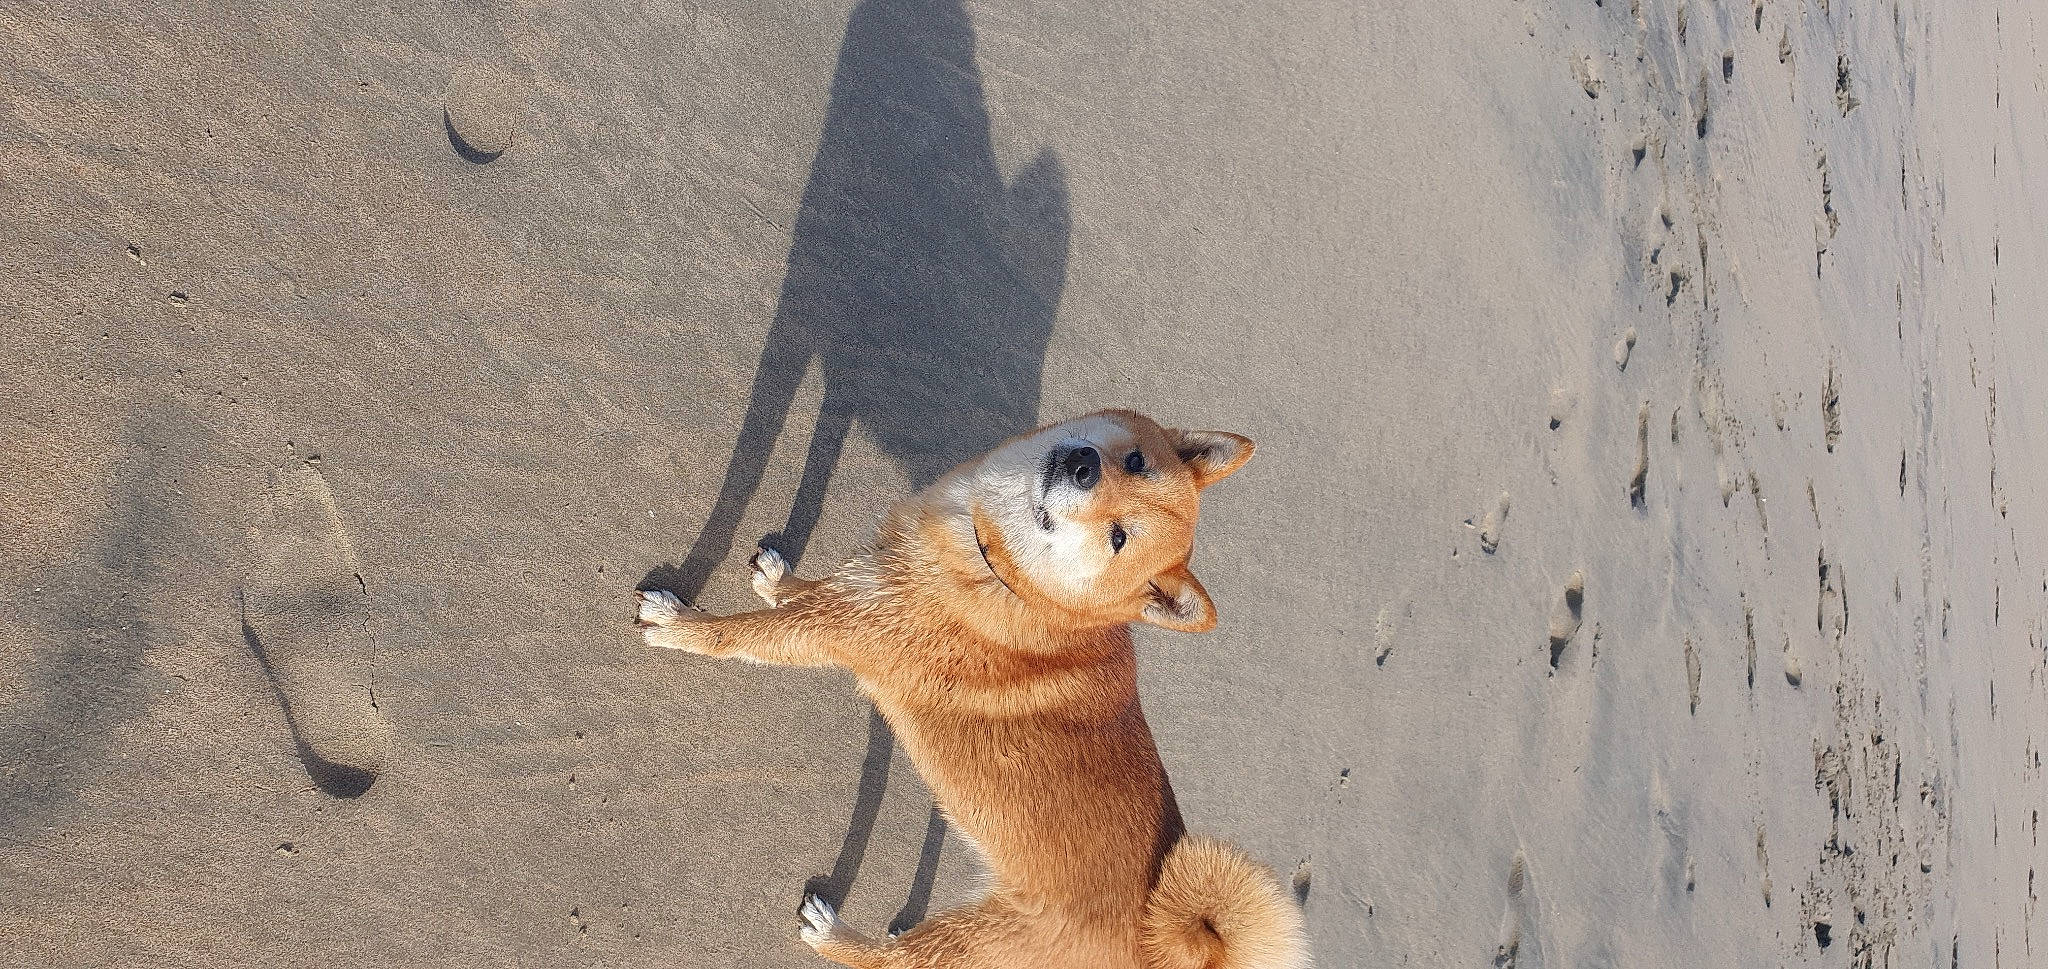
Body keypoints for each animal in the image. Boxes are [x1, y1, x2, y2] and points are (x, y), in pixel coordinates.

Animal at [636, 409, 1309, 969]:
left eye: (1119, 537)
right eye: (1137, 461)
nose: (1083, 464)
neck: (1012, 578)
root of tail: (1161, 944)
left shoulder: (844, 631)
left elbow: (744, 635)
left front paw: (681, 626)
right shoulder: (863, 592)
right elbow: (812, 591)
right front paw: (779, 581)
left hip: (968, 940)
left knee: (891, 961)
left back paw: (834, 936)